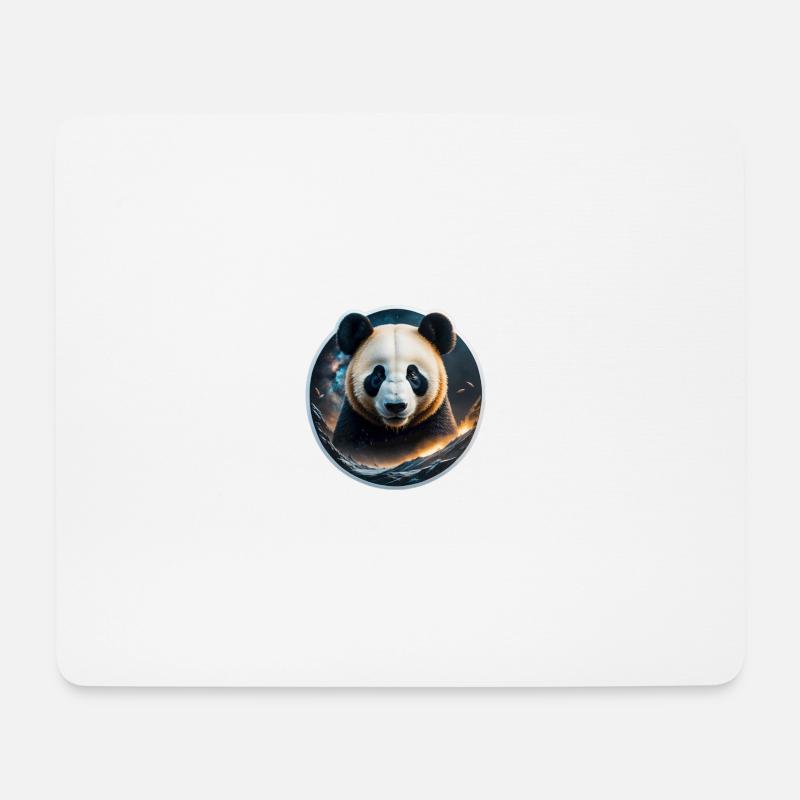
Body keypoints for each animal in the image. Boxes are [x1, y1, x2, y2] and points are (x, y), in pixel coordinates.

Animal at [332, 312, 459, 465]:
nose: (396, 406)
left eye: (412, 374)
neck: (395, 430)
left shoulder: (436, 422)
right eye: (378, 375)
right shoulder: (353, 424)